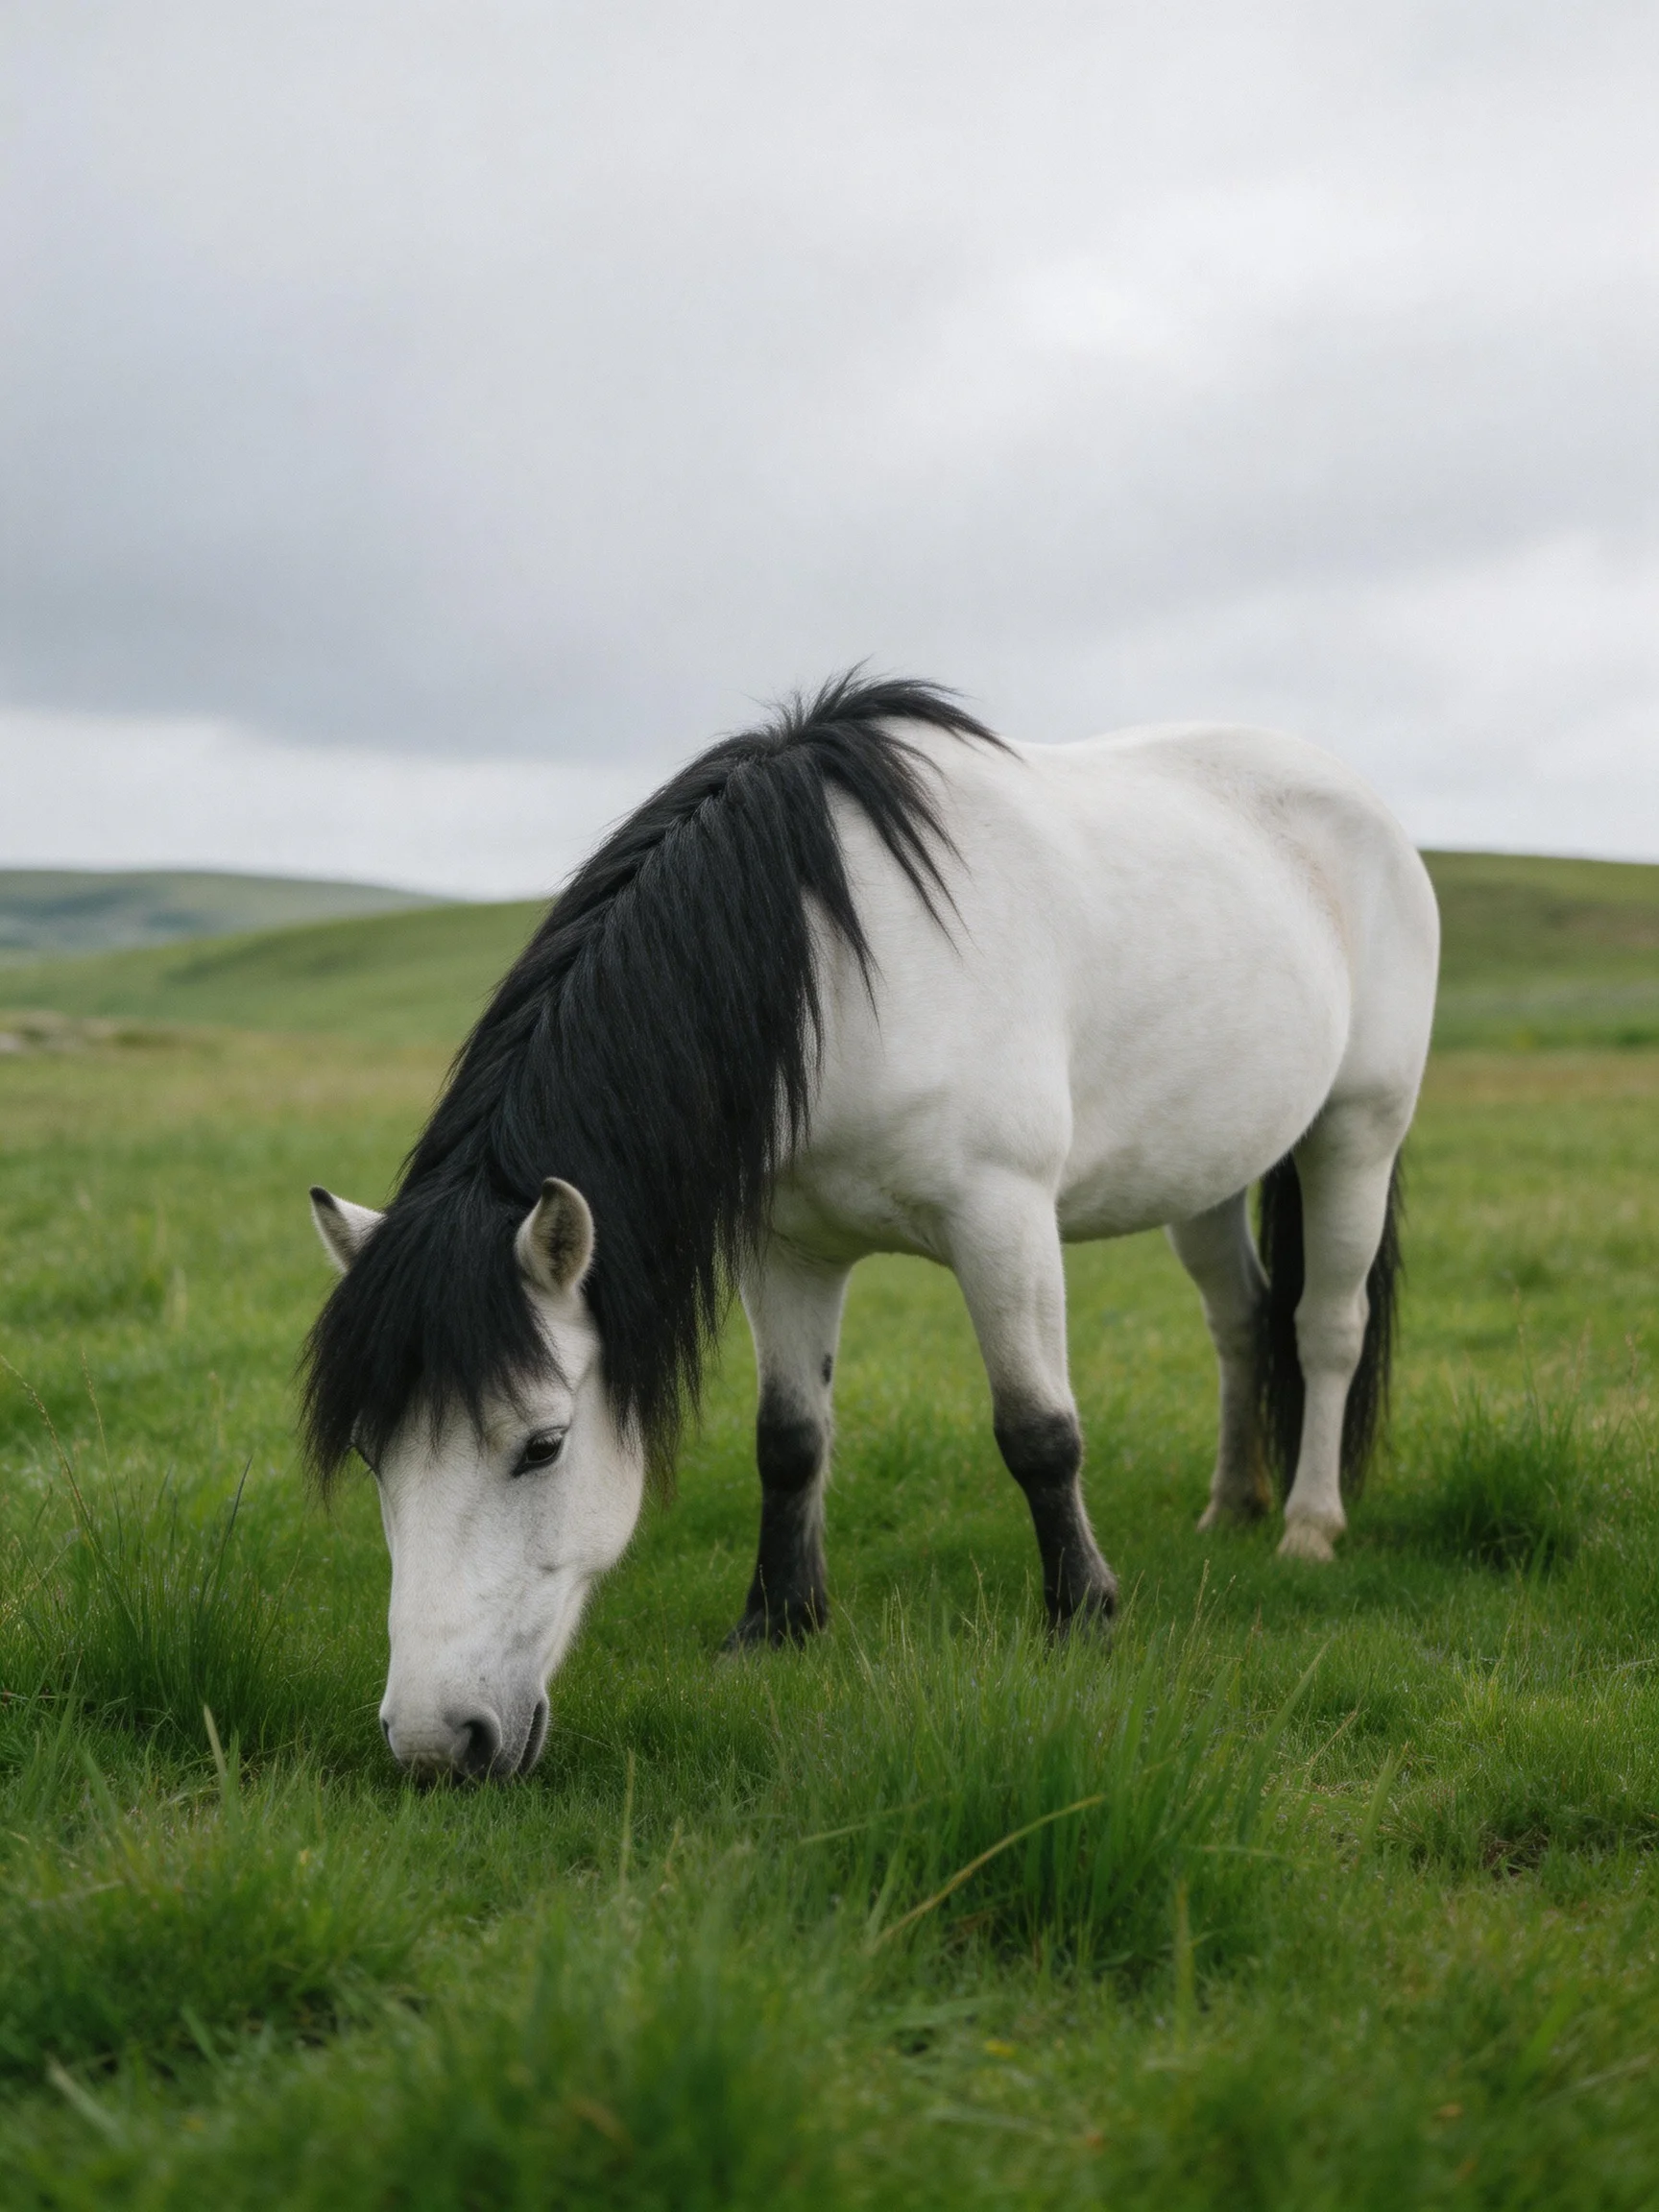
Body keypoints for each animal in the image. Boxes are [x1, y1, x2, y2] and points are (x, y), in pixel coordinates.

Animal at [304, 673, 1439, 1780]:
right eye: (369, 1453)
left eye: (542, 1447)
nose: (436, 1746)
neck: (832, 975)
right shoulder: (785, 1249)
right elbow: (789, 1439)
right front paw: (777, 1623)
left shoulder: (1001, 1216)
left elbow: (1039, 1433)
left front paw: (1082, 1618)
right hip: (1205, 1174)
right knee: (1241, 1322)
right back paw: (1231, 1504)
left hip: (1357, 1131)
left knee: (1324, 1328)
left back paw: (1307, 1525)